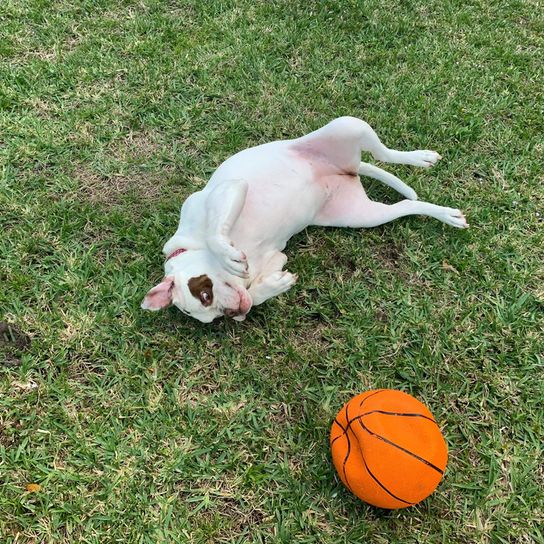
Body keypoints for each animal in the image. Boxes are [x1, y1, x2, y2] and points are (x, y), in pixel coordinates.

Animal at [141, 117, 468, 320]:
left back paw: (419, 158)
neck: (190, 249)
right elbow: (259, 288)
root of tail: (347, 170)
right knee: (404, 204)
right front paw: (271, 288)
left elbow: (215, 233)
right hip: (361, 215)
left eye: (205, 295)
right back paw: (446, 214)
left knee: (384, 154)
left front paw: (229, 256)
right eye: (212, 317)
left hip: (347, 125)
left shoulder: (229, 190)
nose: (235, 315)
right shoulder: (276, 259)